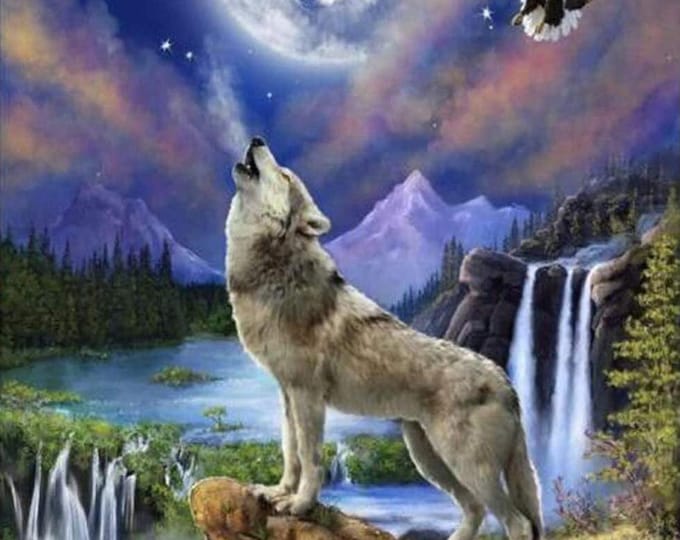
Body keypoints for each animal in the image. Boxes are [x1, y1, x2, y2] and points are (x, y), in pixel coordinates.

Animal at [226, 137, 543, 540]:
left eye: (283, 175)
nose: (256, 140)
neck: (274, 269)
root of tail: (507, 383)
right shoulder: (287, 394)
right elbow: (290, 453)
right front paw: (278, 491)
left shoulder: (307, 396)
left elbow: (311, 459)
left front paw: (300, 505)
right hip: (429, 458)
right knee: (475, 509)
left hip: (466, 465)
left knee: (517, 522)